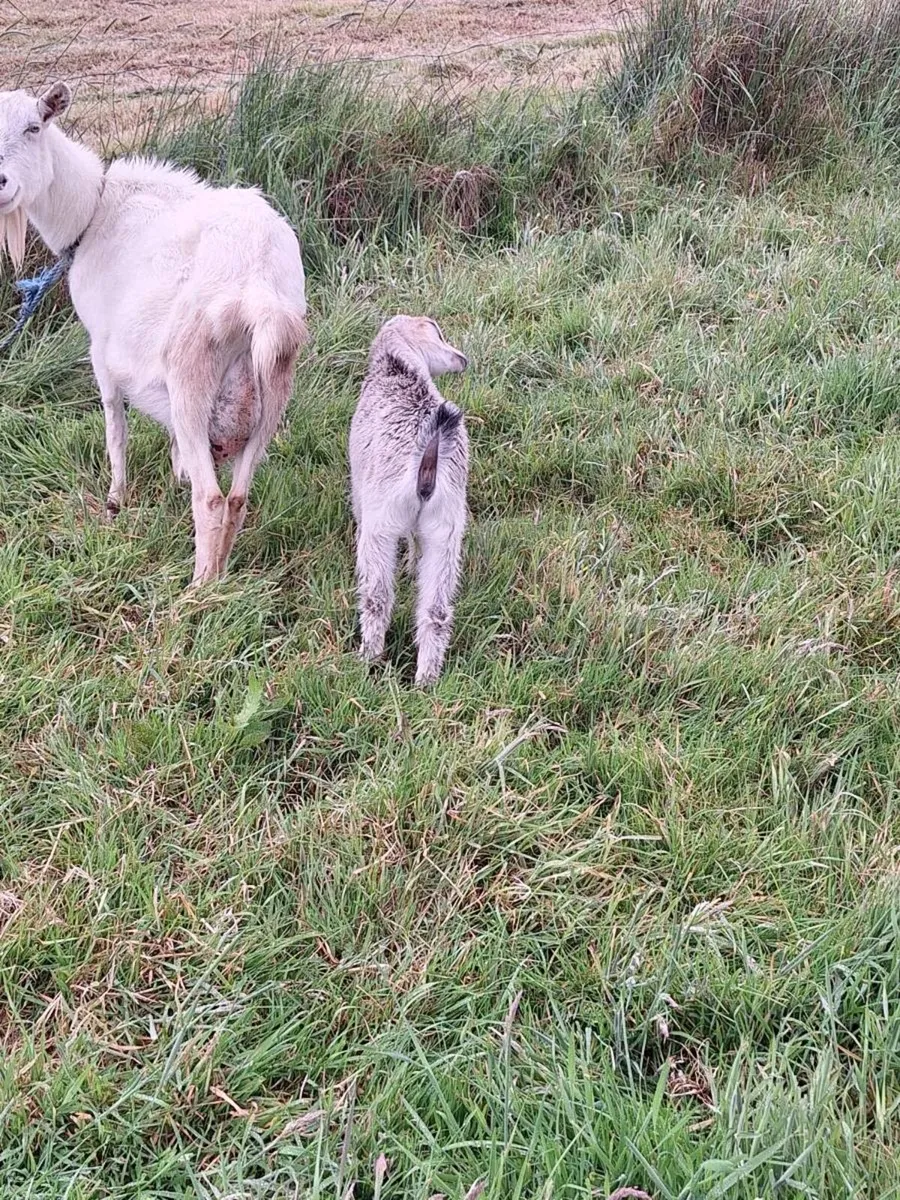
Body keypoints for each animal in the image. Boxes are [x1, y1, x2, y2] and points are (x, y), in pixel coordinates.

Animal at [0, 83, 308, 584]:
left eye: (34, 126)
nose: (2, 183)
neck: (93, 212)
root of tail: (257, 284)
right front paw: (175, 475)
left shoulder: (100, 346)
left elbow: (115, 425)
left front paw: (115, 500)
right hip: (275, 378)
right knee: (237, 497)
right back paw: (220, 572)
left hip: (191, 372)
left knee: (211, 499)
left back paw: (198, 590)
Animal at [349, 315, 469, 687]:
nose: (462, 359)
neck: (397, 367)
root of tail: (429, 451)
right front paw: (410, 567)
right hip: (446, 527)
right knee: (436, 610)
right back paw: (426, 680)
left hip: (380, 525)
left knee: (377, 597)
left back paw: (368, 659)